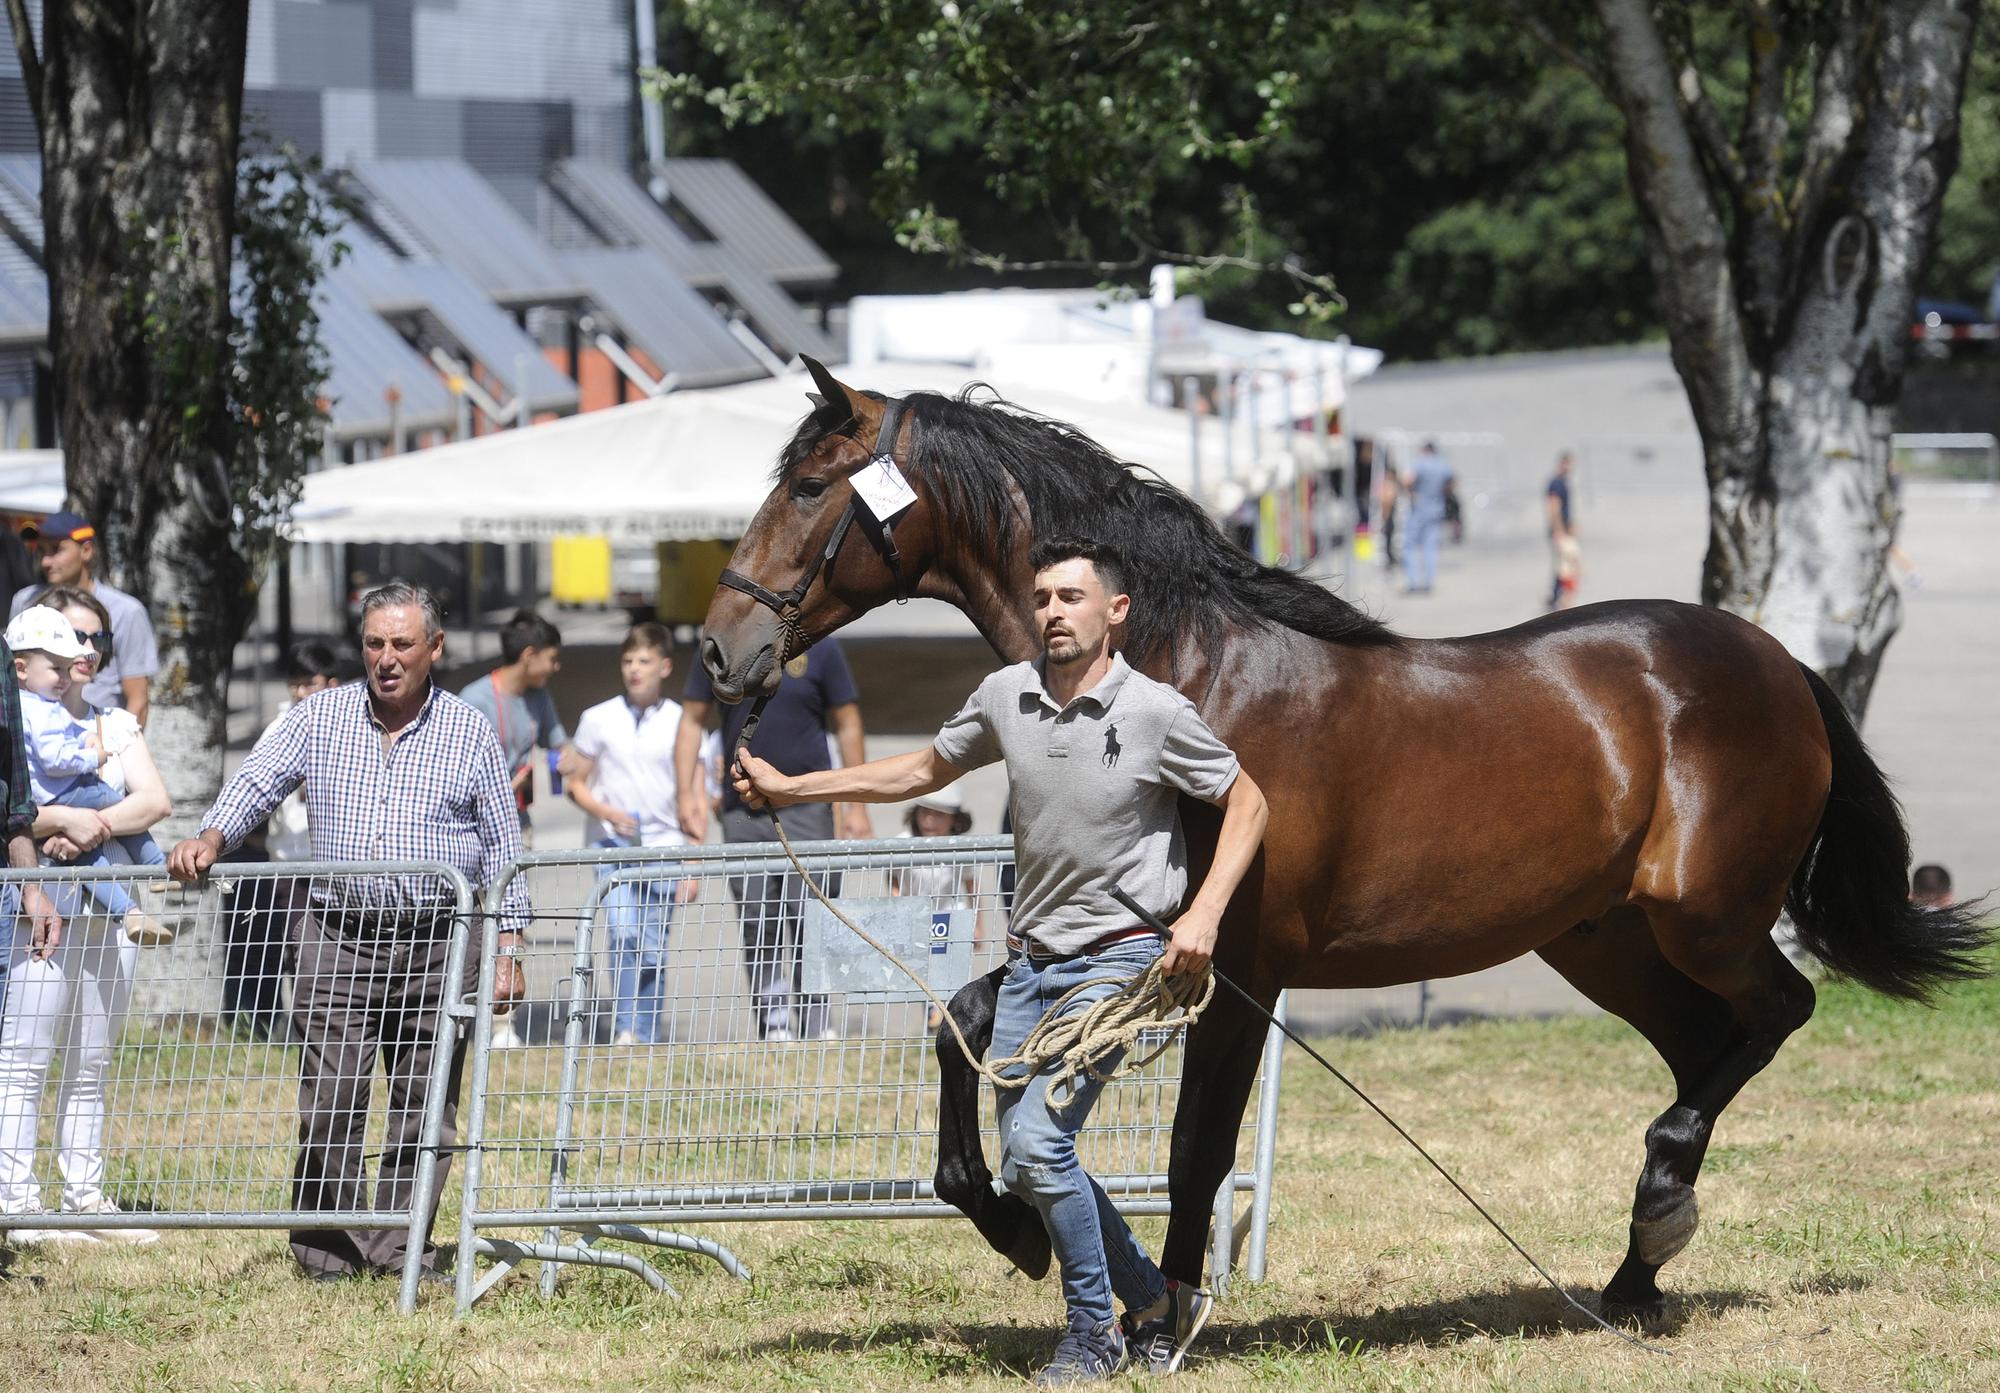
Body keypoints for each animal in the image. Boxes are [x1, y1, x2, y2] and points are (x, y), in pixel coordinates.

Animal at [700, 358, 1984, 1312]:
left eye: (808, 484)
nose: (721, 649)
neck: (1185, 678)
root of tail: (1778, 664)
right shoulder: (1097, 948)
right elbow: (962, 1021)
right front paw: (1008, 1221)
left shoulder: (1232, 970)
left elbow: (1197, 1146)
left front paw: (1164, 1322)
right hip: (1600, 938)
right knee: (1702, 1045)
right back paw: (1631, 1275)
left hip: (1700, 917)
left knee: (1773, 1013)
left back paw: (1658, 1213)